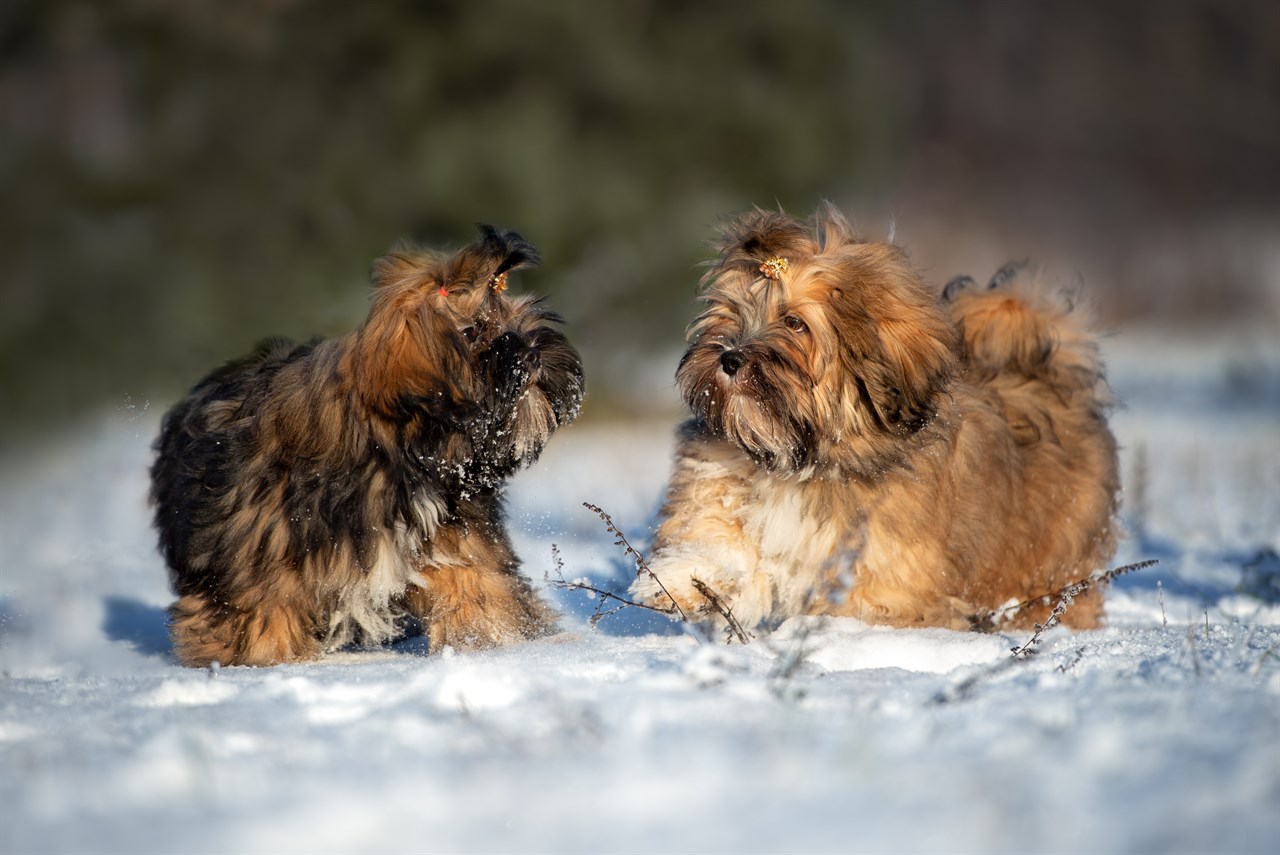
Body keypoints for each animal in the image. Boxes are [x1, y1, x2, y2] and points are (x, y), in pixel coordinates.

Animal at [151, 223, 586, 665]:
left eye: (519, 316)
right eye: (473, 332)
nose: (532, 351)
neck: (395, 450)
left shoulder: (453, 537)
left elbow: (476, 585)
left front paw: (495, 642)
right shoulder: (260, 552)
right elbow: (263, 611)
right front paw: (263, 663)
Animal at [634, 204, 1116, 634]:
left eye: (794, 322)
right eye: (731, 313)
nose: (729, 358)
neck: (805, 460)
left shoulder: (885, 572)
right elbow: (715, 537)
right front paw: (686, 581)